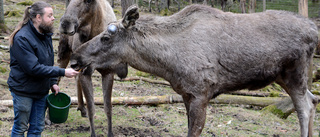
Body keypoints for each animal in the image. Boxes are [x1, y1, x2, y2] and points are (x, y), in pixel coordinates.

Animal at [57, 0, 127, 136]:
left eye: (88, 1)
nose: (65, 24)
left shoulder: (108, 72)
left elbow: (108, 107)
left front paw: (110, 133)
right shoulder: (85, 71)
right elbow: (91, 107)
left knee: (76, 78)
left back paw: (81, 107)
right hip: (64, 52)